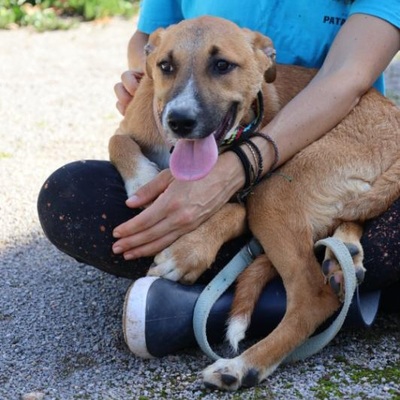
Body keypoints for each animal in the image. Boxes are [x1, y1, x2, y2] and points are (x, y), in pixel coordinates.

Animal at [109, 17, 400, 390]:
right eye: (165, 66)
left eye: (222, 65)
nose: (180, 121)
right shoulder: (128, 126)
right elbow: (117, 141)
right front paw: (143, 178)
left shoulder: (240, 189)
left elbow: (232, 209)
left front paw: (185, 253)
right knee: (350, 223)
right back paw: (345, 257)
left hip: (272, 191)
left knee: (313, 297)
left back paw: (242, 366)